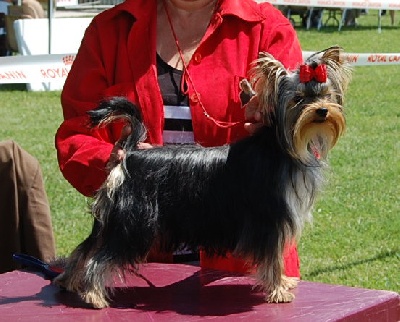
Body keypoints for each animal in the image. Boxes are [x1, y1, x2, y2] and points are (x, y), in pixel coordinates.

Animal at [54, 46, 352, 310]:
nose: (322, 111)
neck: (282, 144)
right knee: (101, 257)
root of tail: (129, 155)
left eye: (326, 94)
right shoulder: (270, 220)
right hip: (134, 223)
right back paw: (93, 296)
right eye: (298, 99)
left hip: (113, 220)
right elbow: (273, 258)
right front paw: (279, 290)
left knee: (85, 249)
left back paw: (69, 282)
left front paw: (284, 284)